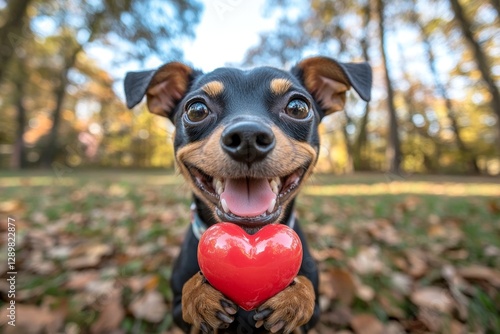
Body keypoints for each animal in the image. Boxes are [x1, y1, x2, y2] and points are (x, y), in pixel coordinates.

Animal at [123, 56, 370, 332]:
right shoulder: (178, 312)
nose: (247, 136)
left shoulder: (312, 317)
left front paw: (295, 299)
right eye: (196, 110)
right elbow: (188, 299)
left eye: (298, 107)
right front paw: (199, 295)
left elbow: (307, 295)